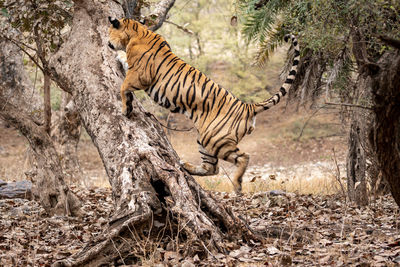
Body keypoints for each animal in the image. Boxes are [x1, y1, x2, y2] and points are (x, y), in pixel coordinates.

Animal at [108, 16, 298, 194]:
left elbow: (124, 86)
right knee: (212, 168)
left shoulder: (141, 75)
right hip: (205, 139)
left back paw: (237, 184)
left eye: (110, 31)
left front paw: (126, 109)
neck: (137, 31)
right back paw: (186, 166)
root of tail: (247, 106)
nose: (108, 43)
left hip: (215, 139)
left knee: (243, 157)